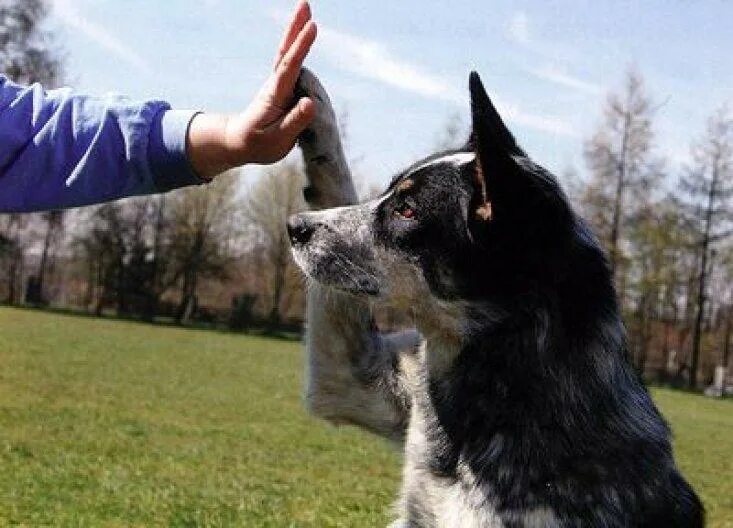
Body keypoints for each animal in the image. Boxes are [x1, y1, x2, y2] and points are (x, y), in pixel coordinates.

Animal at [288, 70, 704, 528]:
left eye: (407, 210)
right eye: (389, 194)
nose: (293, 226)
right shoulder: (351, 380)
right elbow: (335, 180)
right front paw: (307, 99)